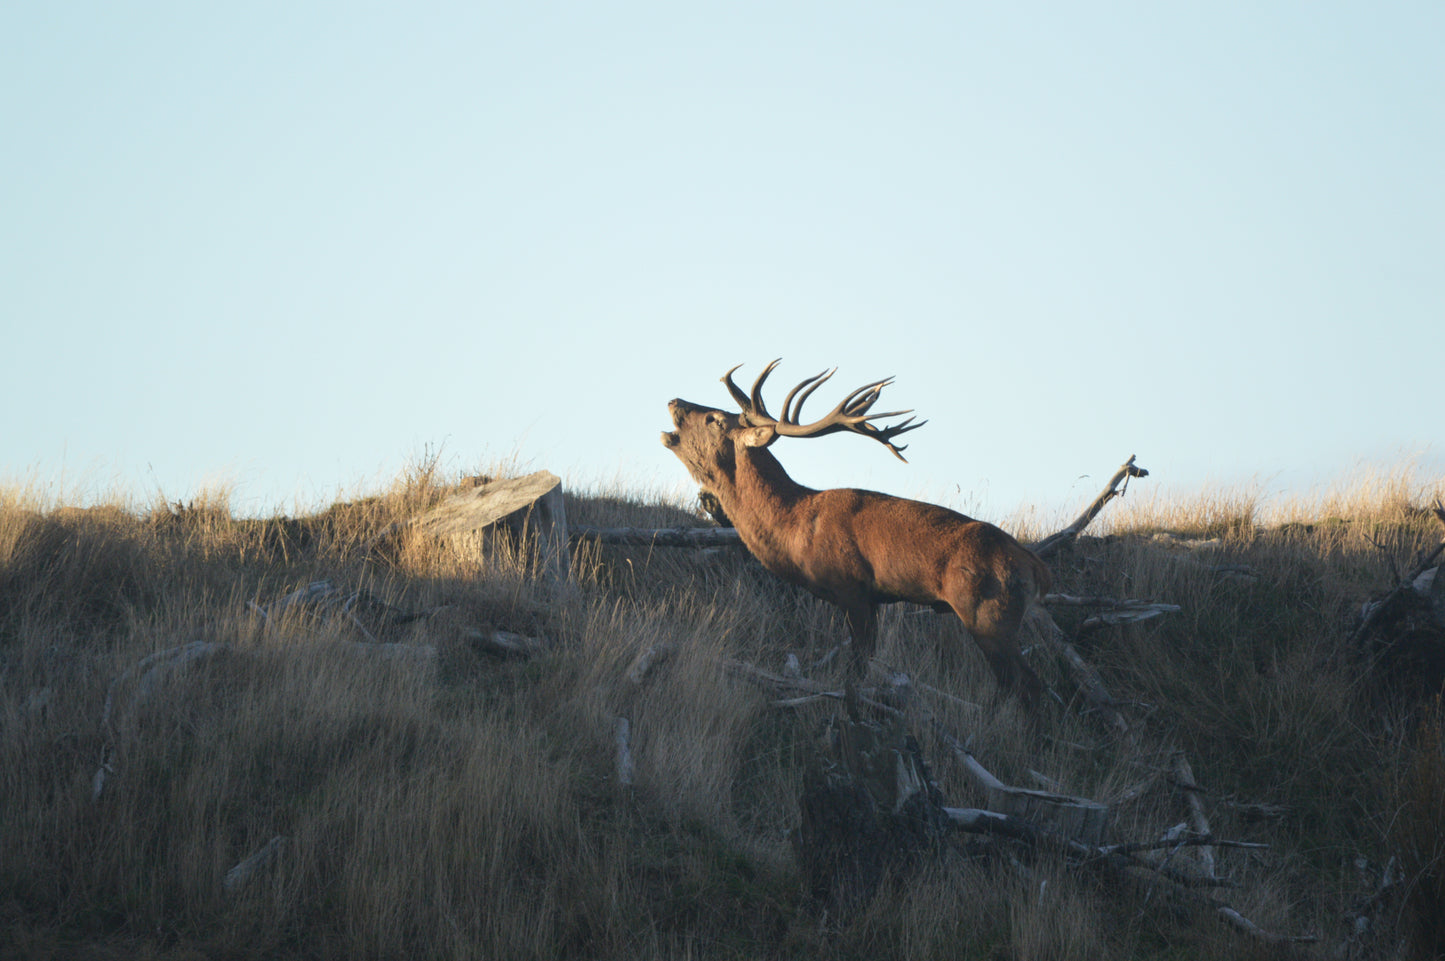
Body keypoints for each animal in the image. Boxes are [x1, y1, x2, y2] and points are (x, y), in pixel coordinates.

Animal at [661, 359, 1052, 708]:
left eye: (714, 419)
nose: (674, 401)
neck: (794, 527)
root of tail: (1035, 565)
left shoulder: (852, 588)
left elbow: (857, 670)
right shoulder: (872, 599)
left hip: (988, 613)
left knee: (1029, 686)